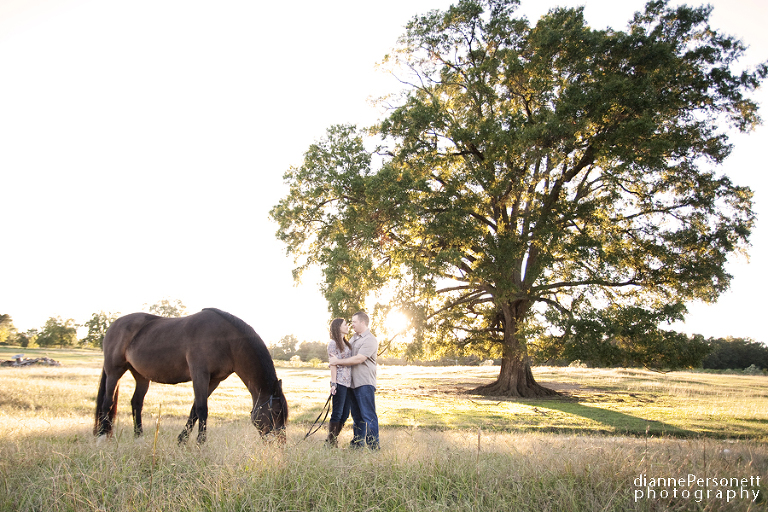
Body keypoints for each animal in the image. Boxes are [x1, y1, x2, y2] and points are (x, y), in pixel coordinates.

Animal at [94, 308, 287, 444]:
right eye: (276, 412)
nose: (280, 444)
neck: (225, 340)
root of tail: (114, 324)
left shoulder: (214, 380)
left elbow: (194, 410)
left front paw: (182, 441)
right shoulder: (200, 374)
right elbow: (202, 409)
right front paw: (200, 443)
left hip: (141, 376)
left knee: (136, 403)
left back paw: (139, 438)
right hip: (114, 371)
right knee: (107, 401)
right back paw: (102, 437)